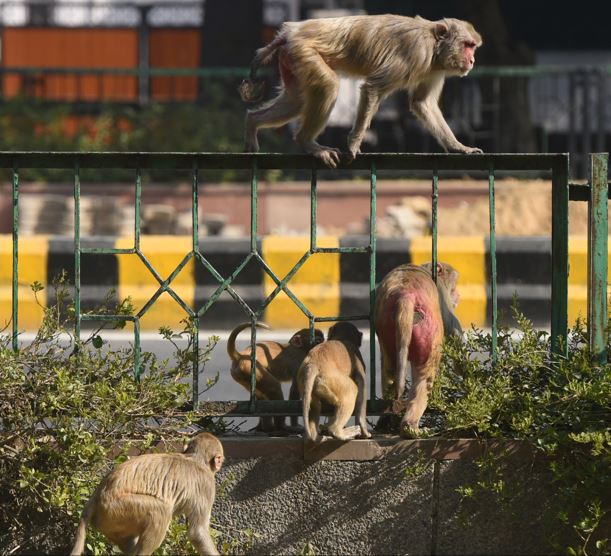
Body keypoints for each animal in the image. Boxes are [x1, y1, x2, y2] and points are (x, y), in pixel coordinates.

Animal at [71, 434, 225, 556]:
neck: (194, 458)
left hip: (109, 520)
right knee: (161, 512)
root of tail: (98, 493)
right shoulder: (207, 485)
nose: (219, 464)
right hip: (116, 507)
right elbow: (197, 533)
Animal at [241, 14, 486, 167]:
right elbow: (373, 88)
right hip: (303, 51)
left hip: (291, 59)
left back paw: (253, 122)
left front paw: (459, 147)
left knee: (297, 101)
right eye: (467, 45)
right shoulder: (415, 51)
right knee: (328, 86)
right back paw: (308, 142)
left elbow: (421, 103)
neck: (434, 46)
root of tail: (289, 33)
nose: (473, 60)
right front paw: (353, 145)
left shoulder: (435, 69)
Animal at [372, 262, 464, 436]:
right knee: (425, 374)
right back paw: (410, 426)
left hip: (386, 329)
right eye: (453, 285)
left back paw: (387, 419)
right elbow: (454, 332)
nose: (458, 295)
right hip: (428, 331)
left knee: (390, 368)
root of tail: (405, 296)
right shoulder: (442, 295)